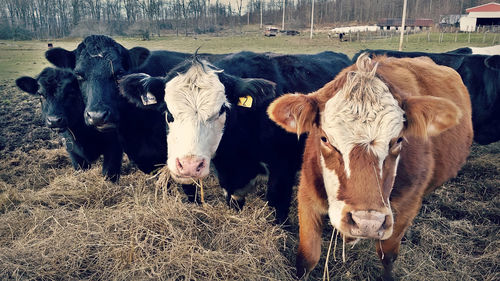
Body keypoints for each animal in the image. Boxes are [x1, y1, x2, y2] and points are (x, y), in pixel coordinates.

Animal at [119, 50, 352, 221]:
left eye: (222, 109)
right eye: (167, 111)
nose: (190, 166)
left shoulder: (282, 170)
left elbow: (278, 209)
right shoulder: (230, 182)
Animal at [268, 54, 470, 278]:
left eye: (398, 140)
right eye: (325, 139)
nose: (367, 222)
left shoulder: (406, 207)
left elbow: (387, 256)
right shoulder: (307, 195)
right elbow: (307, 258)